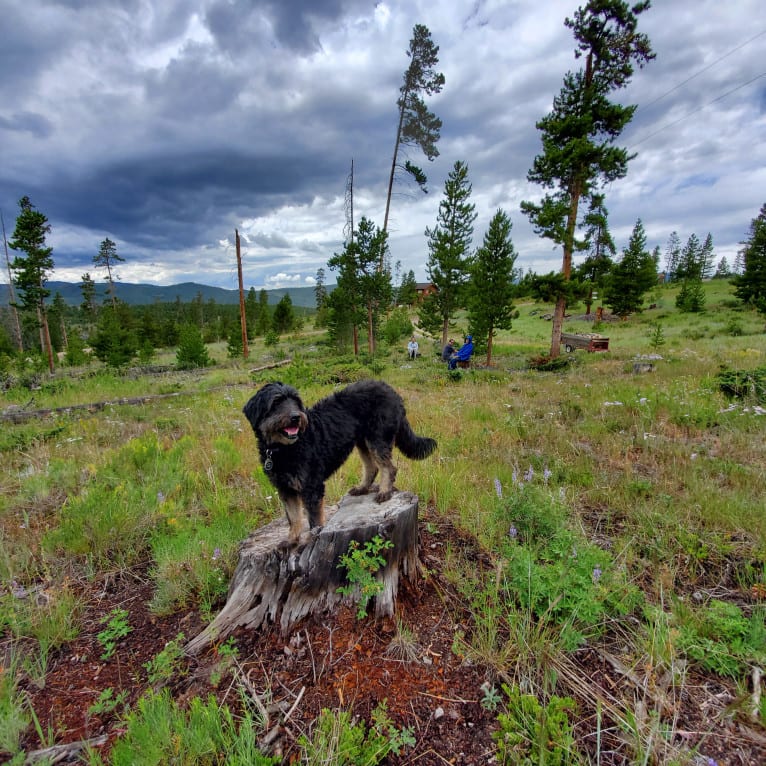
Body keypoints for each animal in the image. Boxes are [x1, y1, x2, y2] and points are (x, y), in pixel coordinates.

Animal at [244, 380, 438, 544]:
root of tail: (391, 391)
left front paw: (312, 538)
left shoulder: (312, 486)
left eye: (296, 401)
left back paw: (384, 492)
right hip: (362, 441)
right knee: (372, 467)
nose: (296, 417)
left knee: (389, 467)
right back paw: (362, 488)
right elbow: (293, 517)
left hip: (378, 437)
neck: (284, 449)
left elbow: (314, 519)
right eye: (276, 403)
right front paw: (291, 540)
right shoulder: (285, 489)